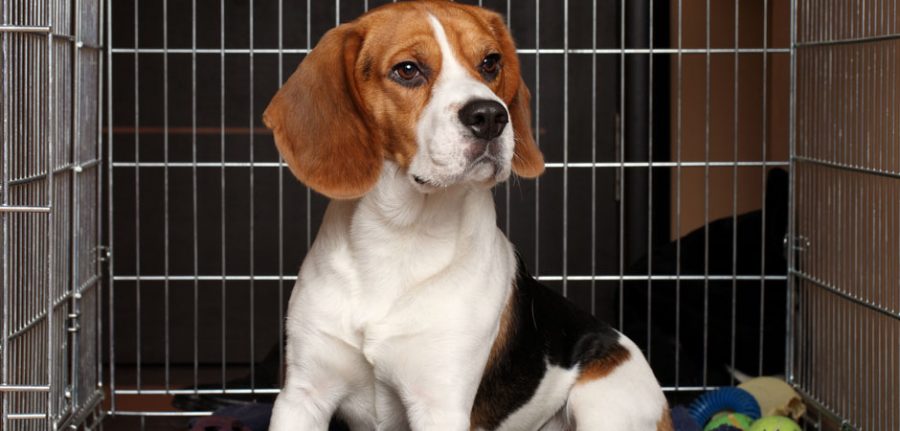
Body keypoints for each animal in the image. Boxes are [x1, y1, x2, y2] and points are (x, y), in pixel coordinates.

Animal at [260, 1, 668, 430]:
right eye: (408, 69)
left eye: (490, 62)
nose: (490, 116)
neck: (400, 234)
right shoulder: (302, 395)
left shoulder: (440, 403)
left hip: (602, 399)